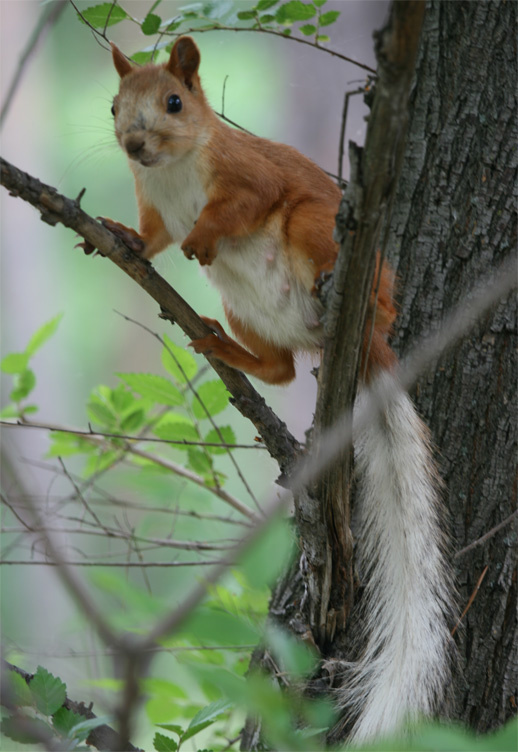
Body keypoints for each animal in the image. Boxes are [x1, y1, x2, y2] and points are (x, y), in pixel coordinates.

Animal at [104, 37, 454, 742]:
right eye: (113, 107)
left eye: (174, 102)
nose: (133, 144)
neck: (174, 171)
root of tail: (362, 346)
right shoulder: (152, 201)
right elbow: (153, 236)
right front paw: (124, 238)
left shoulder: (246, 172)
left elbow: (242, 203)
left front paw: (203, 234)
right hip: (244, 308)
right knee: (282, 370)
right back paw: (224, 346)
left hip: (317, 229)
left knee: (346, 283)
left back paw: (347, 298)